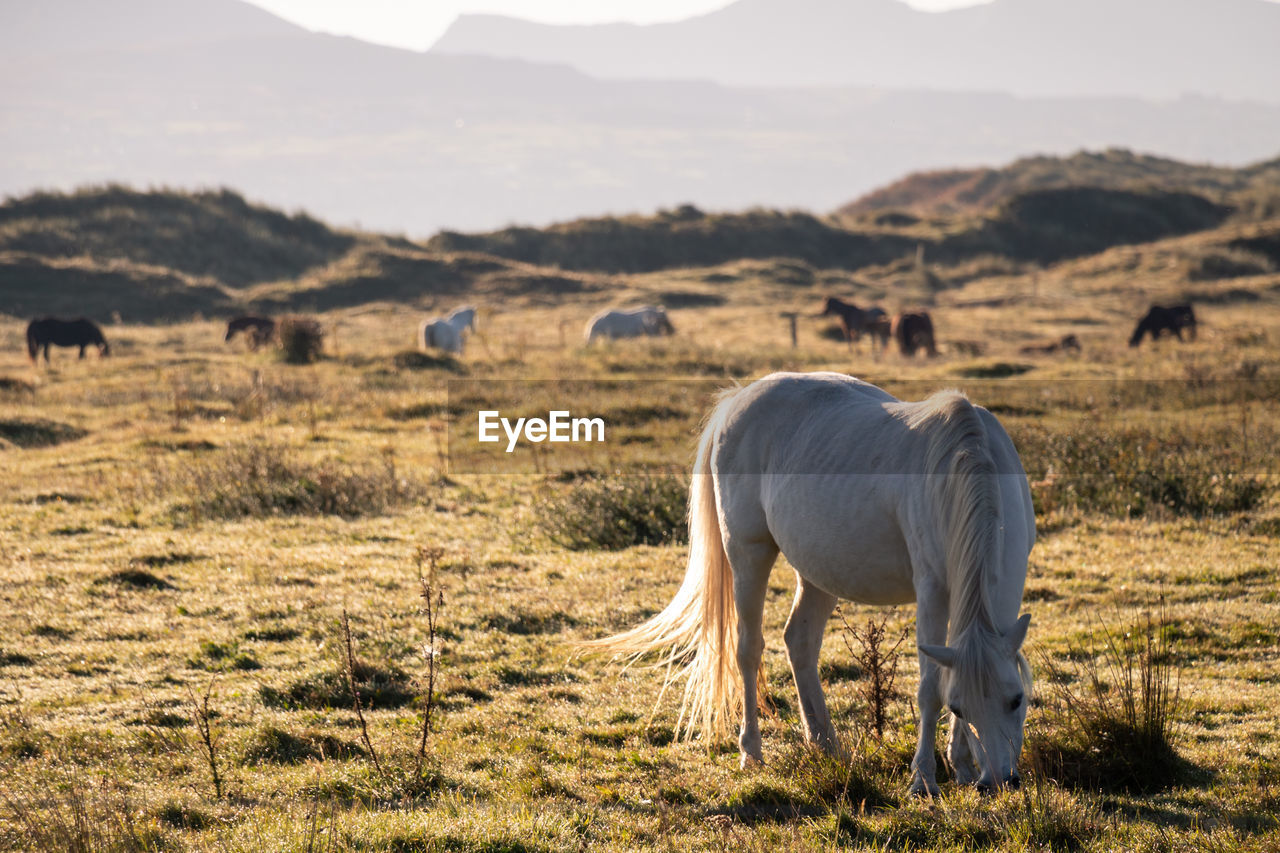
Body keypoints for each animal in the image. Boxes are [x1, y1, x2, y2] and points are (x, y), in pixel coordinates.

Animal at [593, 368, 1034, 794]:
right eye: (960, 708)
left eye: (1017, 699)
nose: (997, 782)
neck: (968, 466)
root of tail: (737, 399)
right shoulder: (932, 590)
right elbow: (929, 687)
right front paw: (923, 779)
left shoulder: (1004, 588)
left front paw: (960, 766)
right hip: (748, 553)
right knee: (747, 649)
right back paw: (752, 752)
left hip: (819, 571)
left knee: (800, 640)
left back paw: (825, 744)